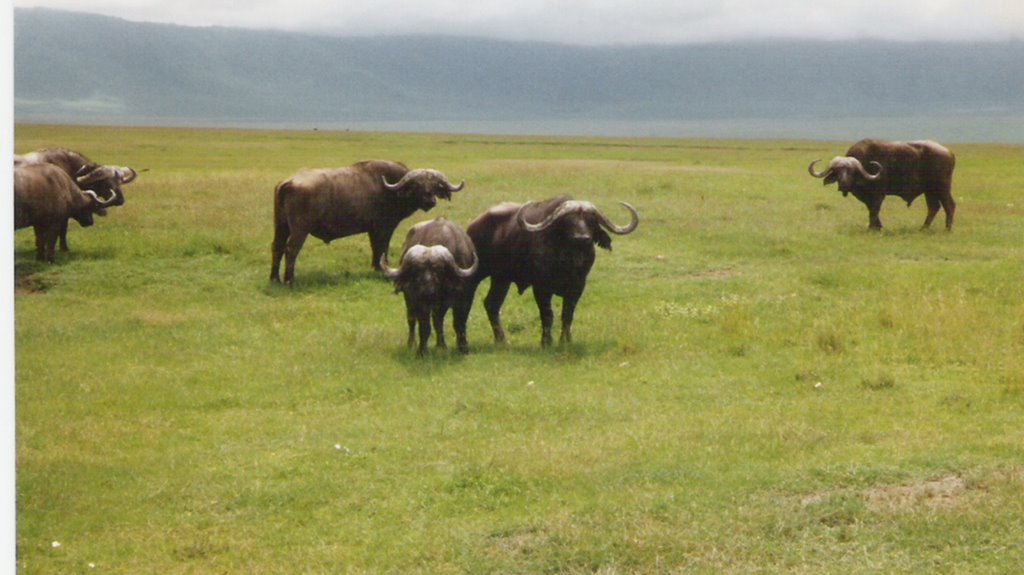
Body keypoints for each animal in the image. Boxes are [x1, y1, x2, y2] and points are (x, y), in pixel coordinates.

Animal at [270, 157, 466, 282]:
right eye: (417, 185)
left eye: (434, 186)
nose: (429, 201)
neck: (391, 190)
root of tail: (289, 182)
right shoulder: (383, 228)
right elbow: (381, 248)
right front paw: (381, 268)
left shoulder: (372, 230)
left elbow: (375, 249)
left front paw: (375, 267)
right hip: (299, 229)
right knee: (291, 249)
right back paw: (289, 279)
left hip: (280, 226)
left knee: (277, 247)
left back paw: (274, 278)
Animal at [380, 216, 479, 356]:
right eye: (416, 271)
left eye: (439, 270)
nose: (427, 292)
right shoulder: (420, 303)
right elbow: (424, 326)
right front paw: (422, 351)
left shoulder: (465, 299)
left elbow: (459, 323)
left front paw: (463, 348)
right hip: (409, 300)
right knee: (412, 319)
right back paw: (412, 343)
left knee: (438, 320)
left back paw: (441, 345)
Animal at [466, 193, 638, 343]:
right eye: (568, 220)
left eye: (591, 221)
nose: (582, 238)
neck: (567, 263)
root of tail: (473, 226)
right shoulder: (541, 288)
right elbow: (547, 315)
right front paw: (546, 342)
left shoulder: (578, 287)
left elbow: (567, 315)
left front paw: (566, 341)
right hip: (476, 274)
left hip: (501, 279)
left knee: (492, 304)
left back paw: (501, 341)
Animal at [806, 138, 958, 228]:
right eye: (837, 171)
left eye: (851, 171)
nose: (843, 184)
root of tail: (949, 152)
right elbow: (871, 209)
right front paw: (877, 227)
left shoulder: (878, 194)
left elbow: (874, 210)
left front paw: (872, 228)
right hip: (929, 191)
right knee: (933, 207)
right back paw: (923, 228)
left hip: (942, 188)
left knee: (949, 205)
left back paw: (947, 229)